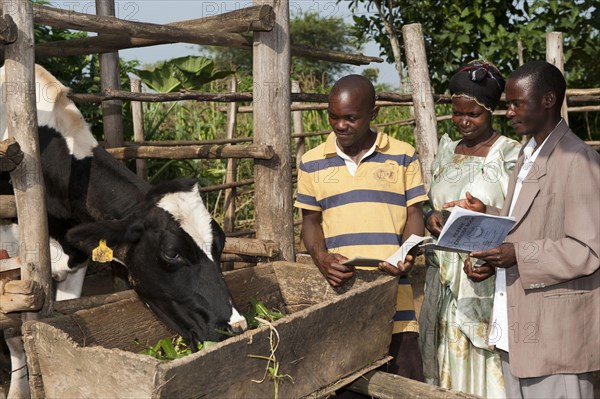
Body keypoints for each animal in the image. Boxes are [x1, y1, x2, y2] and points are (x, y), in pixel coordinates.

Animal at [1, 64, 246, 396]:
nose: (237, 326)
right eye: (171, 253)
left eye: (220, 243)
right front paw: (17, 391)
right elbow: (15, 333)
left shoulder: (77, 260)